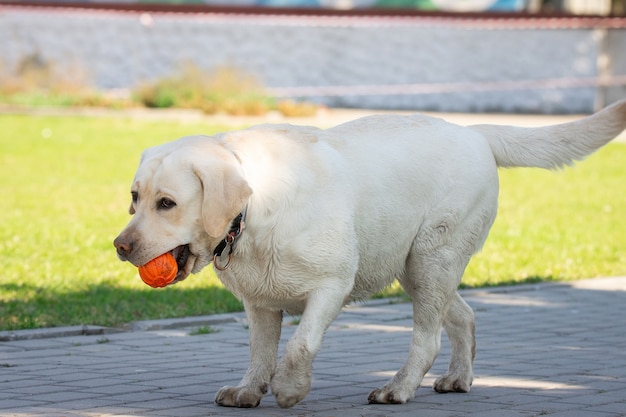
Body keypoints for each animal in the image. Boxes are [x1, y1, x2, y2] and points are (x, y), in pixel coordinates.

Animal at [113, 100, 624, 406]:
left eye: (167, 203)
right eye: (135, 197)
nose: (120, 246)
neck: (254, 211)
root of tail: (474, 132)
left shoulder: (331, 284)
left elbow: (299, 345)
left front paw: (291, 389)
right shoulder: (259, 301)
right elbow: (260, 351)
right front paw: (248, 389)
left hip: (432, 256)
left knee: (428, 336)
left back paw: (398, 387)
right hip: (416, 266)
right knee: (463, 316)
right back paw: (459, 377)